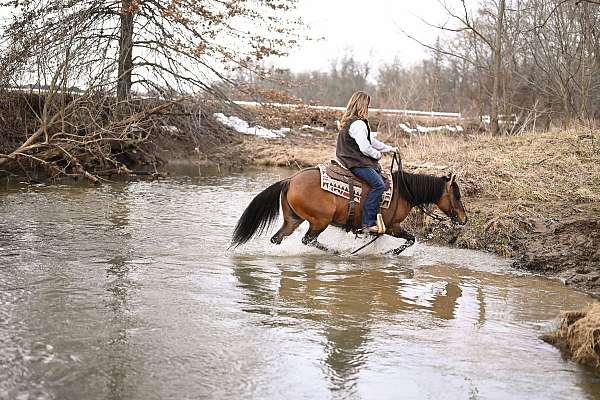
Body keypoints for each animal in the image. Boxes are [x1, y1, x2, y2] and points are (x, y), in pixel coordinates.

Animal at [231, 165, 468, 253]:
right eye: (456, 195)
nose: (464, 219)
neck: (404, 192)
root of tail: (289, 180)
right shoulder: (393, 226)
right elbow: (411, 239)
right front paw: (390, 253)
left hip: (293, 219)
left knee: (278, 238)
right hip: (319, 221)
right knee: (308, 240)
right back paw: (338, 252)